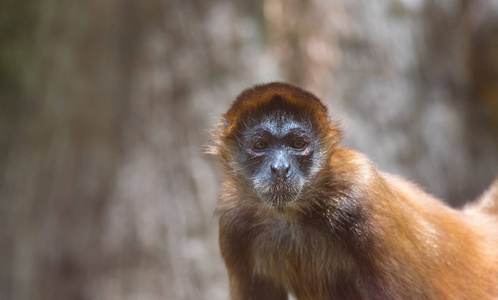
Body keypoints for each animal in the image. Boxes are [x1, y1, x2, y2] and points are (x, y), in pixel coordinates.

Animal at [210, 82, 498, 300]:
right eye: (260, 144)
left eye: (298, 144)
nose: (280, 169)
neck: (290, 217)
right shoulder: (234, 218)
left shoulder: (361, 192)